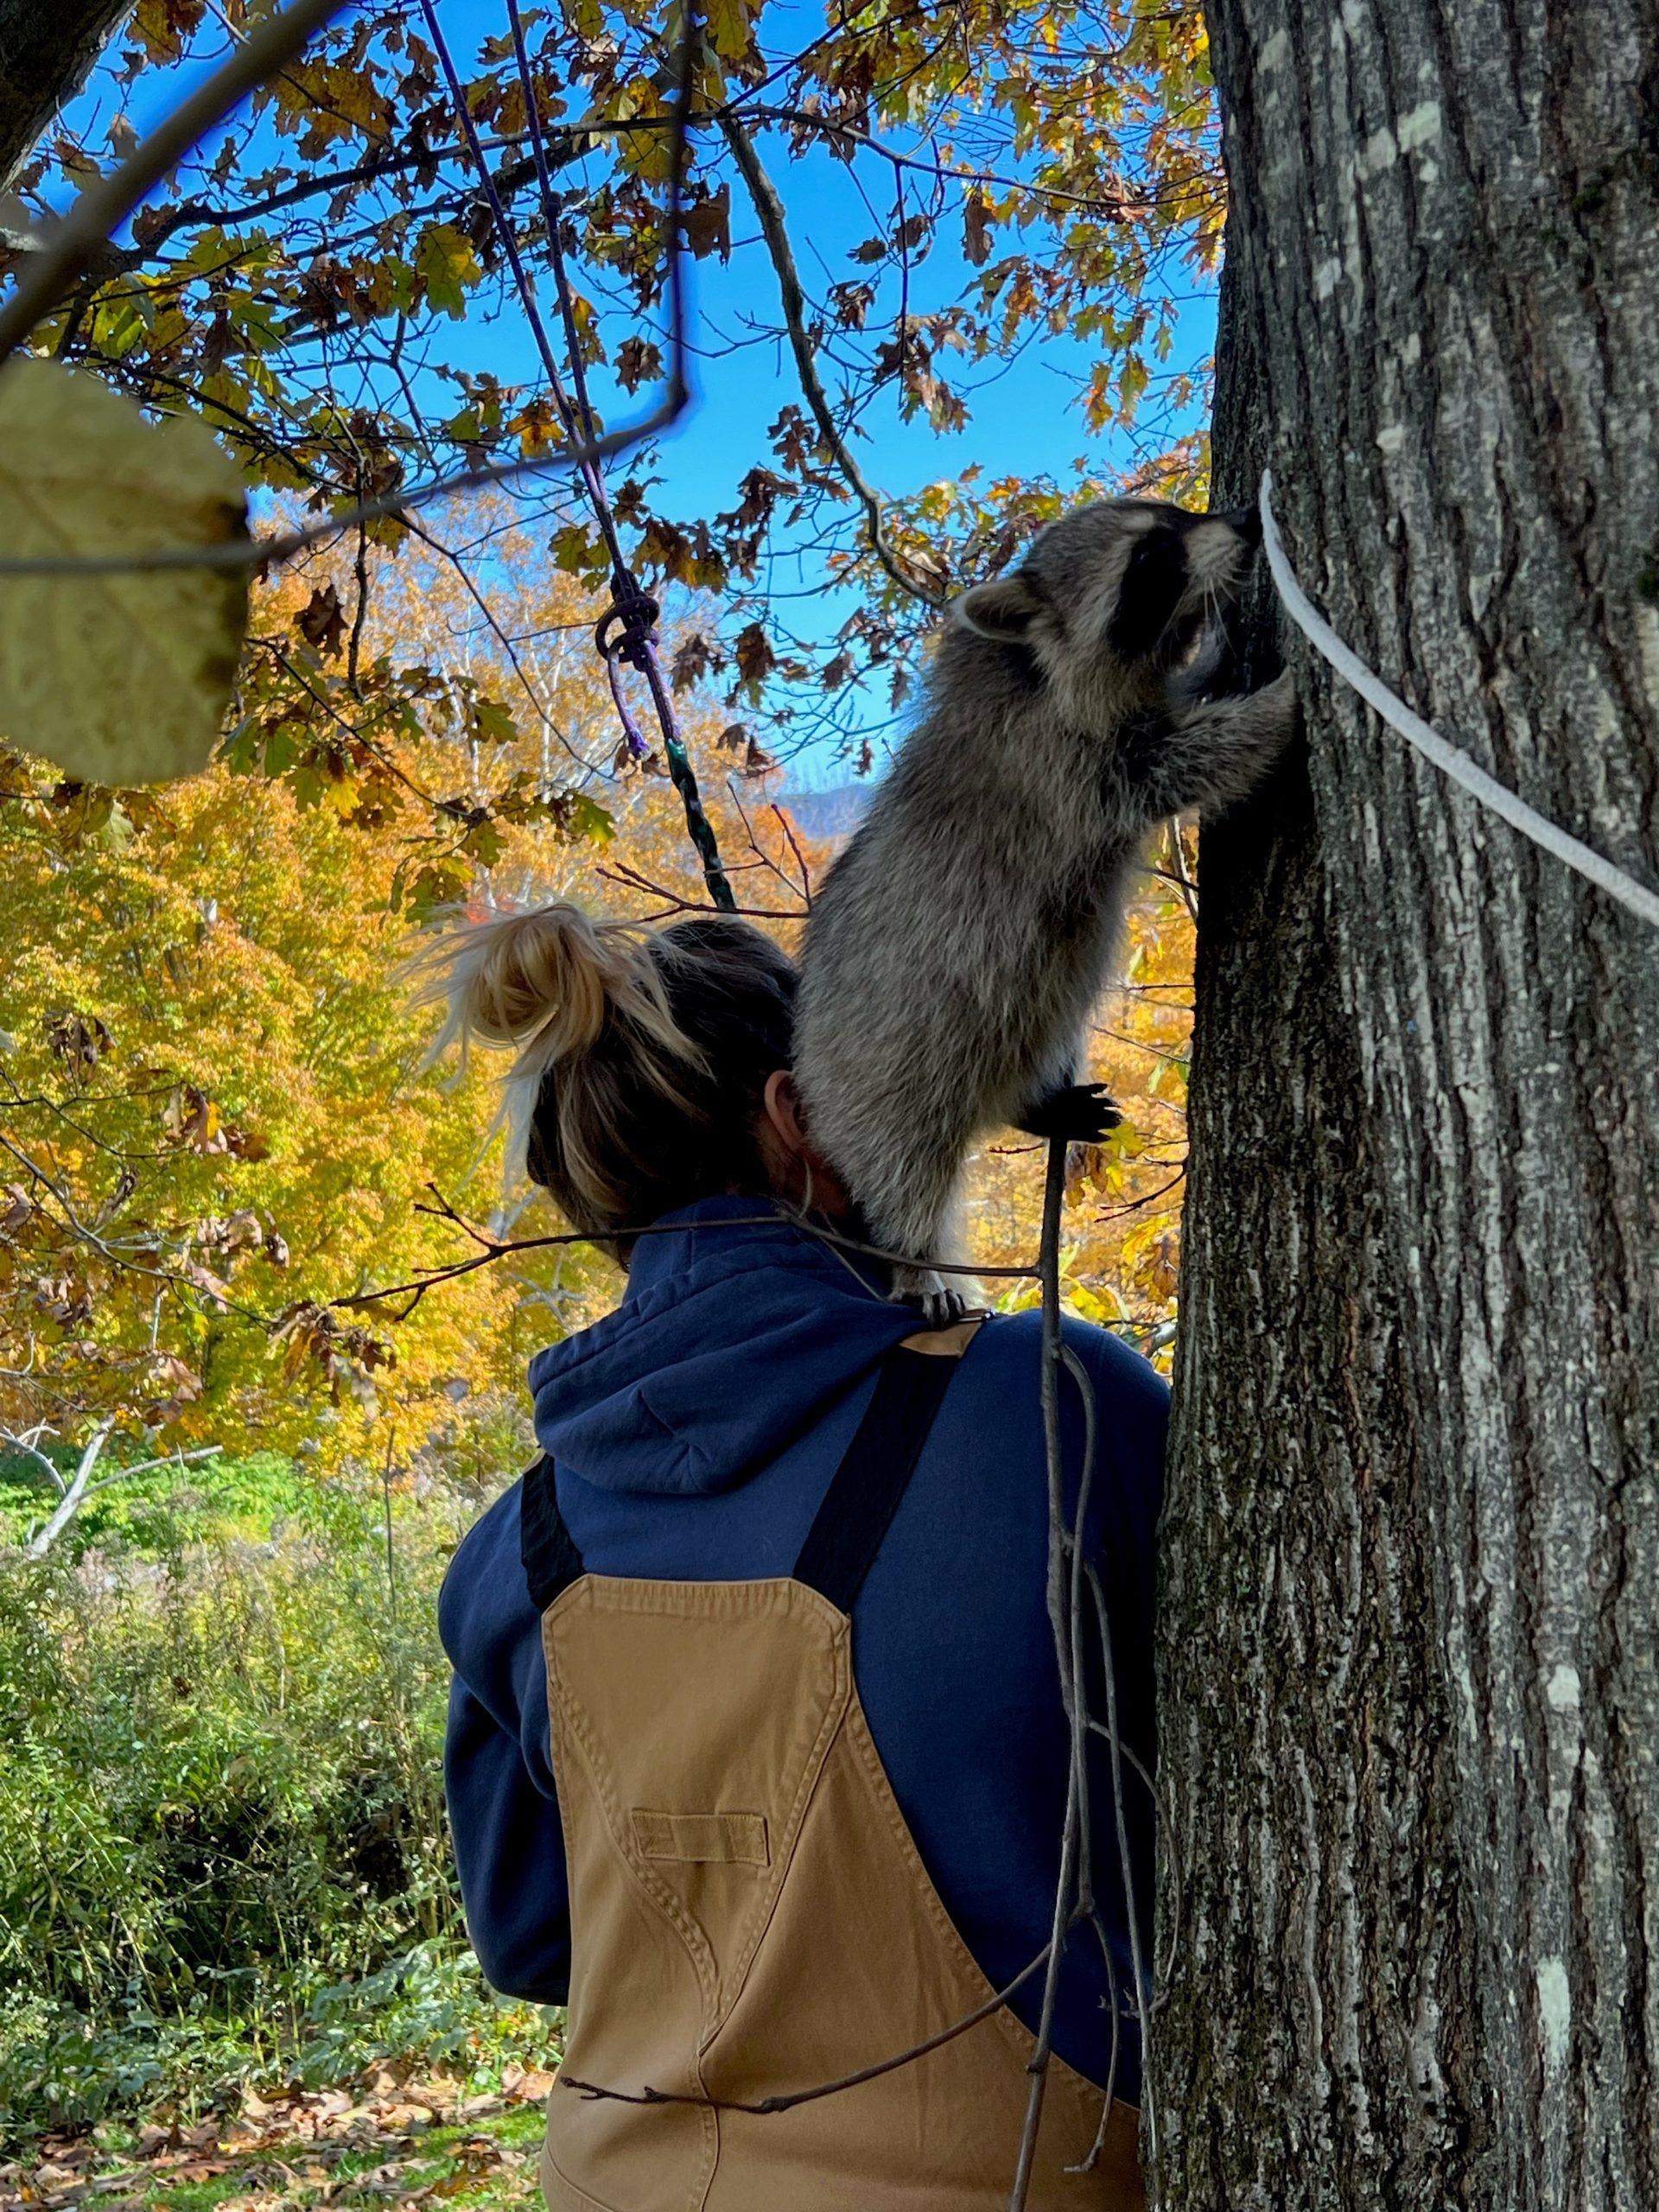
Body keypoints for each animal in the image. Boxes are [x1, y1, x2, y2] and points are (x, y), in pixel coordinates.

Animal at [791, 498, 1300, 1309]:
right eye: (1150, 559)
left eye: (1174, 516)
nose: (1247, 525)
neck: (1025, 671)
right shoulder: (1056, 765)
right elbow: (1178, 763)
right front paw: (1274, 704)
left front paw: (1219, 659)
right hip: (879, 1072)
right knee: (901, 1171)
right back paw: (913, 1257)